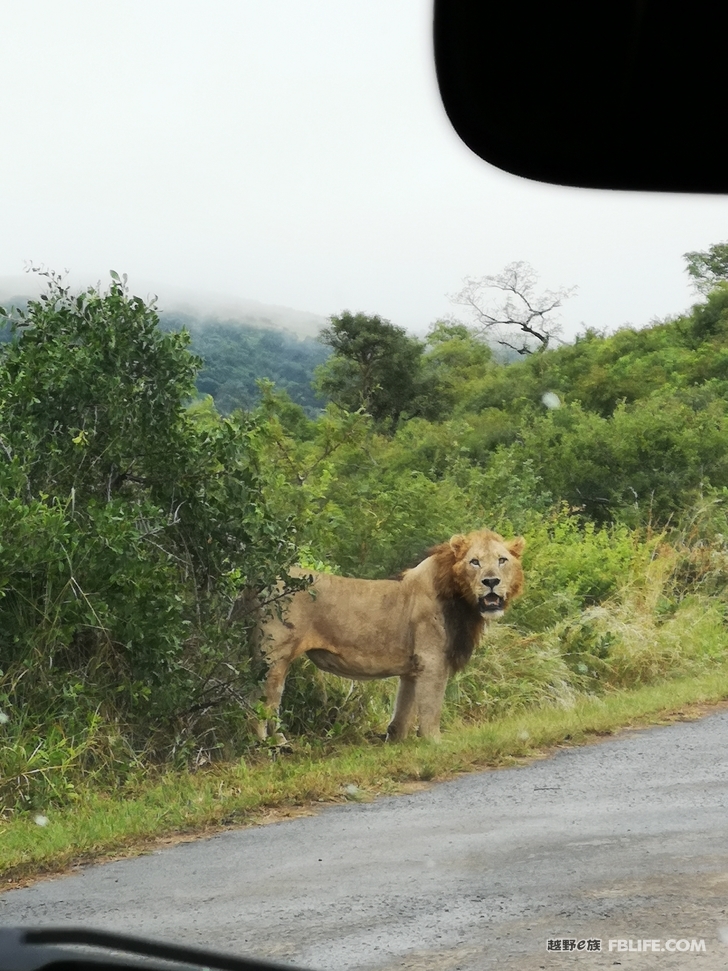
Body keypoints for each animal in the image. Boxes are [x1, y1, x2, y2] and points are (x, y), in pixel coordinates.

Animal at [250, 532, 524, 744]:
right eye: (474, 562)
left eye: (502, 560)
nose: (491, 581)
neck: (462, 600)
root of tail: (260, 582)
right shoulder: (433, 661)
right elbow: (431, 708)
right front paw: (435, 743)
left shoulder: (413, 668)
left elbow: (404, 710)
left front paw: (396, 742)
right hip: (274, 656)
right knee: (263, 701)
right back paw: (271, 743)